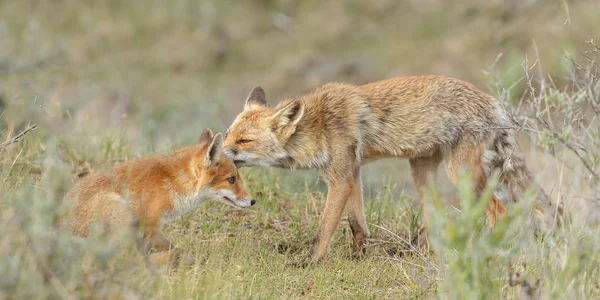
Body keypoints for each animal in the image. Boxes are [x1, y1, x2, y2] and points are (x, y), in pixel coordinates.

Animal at [62, 130, 255, 266]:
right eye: (231, 179)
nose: (253, 201)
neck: (172, 184)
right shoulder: (152, 227)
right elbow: (172, 247)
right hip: (120, 213)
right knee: (130, 261)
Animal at [225, 75, 556, 264]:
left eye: (244, 140)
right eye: (229, 134)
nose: (221, 151)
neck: (319, 125)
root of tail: (493, 102)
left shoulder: (340, 179)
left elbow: (324, 231)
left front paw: (309, 262)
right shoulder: (351, 173)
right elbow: (357, 225)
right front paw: (358, 257)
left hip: (461, 175)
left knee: (501, 213)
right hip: (421, 173)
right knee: (434, 215)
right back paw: (415, 252)